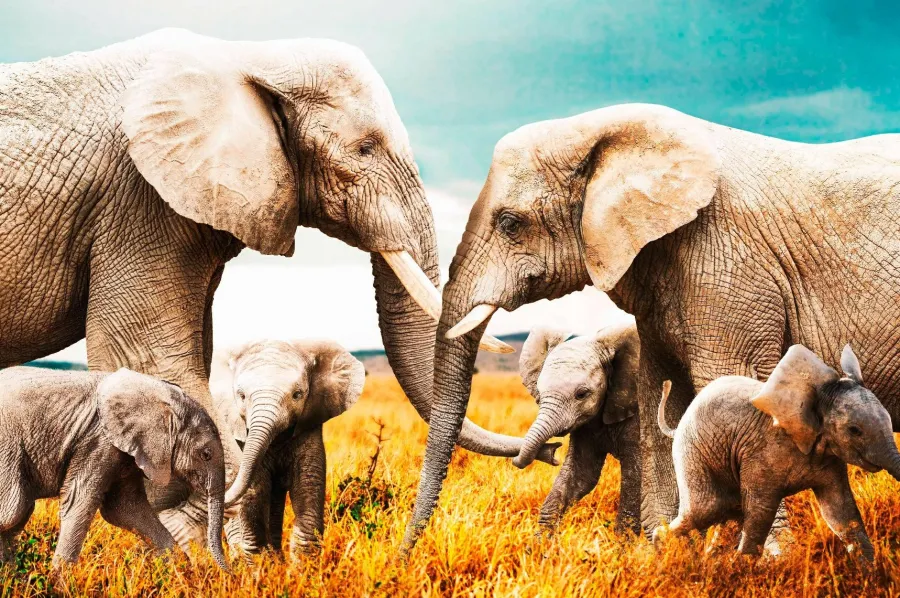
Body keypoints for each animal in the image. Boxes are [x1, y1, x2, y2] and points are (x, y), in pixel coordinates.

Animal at [0, 28, 553, 542]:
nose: (548, 451)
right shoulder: (138, 200)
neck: (249, 55)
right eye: (364, 148)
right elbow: (151, 361)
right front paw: (204, 561)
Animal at [0, 367, 227, 570]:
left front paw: (182, 574)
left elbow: (125, 509)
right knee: (12, 513)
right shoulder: (98, 441)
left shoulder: (126, 451)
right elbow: (79, 501)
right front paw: (60, 581)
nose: (228, 573)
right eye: (206, 454)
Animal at [514, 323, 641, 534]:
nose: (553, 454)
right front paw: (541, 543)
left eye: (581, 394)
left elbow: (637, 476)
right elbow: (581, 474)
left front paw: (624, 543)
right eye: (539, 391)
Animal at [653, 345, 900, 561]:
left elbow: (841, 512)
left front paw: (871, 574)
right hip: (692, 452)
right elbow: (760, 514)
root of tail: (677, 427)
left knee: (728, 513)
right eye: (854, 430)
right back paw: (662, 555)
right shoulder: (762, 453)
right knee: (707, 509)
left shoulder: (830, 456)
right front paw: (744, 570)